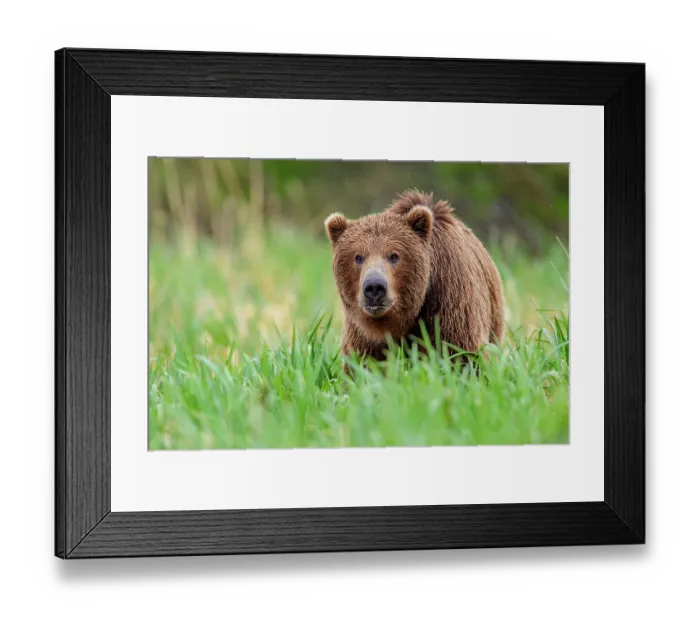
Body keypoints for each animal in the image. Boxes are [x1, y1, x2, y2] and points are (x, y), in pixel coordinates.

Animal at [324, 189, 505, 364]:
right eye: (358, 257)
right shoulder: (362, 332)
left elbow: (462, 354)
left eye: (394, 255)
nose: (374, 287)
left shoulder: (450, 301)